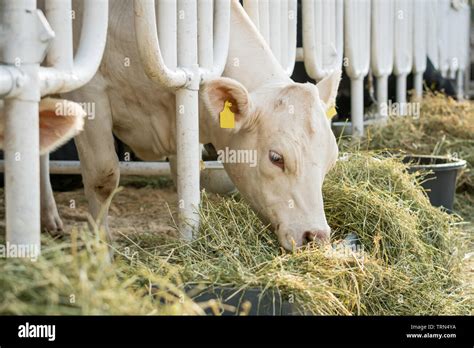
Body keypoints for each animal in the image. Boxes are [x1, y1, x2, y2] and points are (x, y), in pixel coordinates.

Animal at [41, 0, 340, 250]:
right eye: (276, 158)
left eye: (331, 161)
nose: (316, 236)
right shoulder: (88, 93)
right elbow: (102, 178)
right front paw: (103, 252)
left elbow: (189, 176)